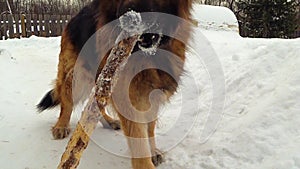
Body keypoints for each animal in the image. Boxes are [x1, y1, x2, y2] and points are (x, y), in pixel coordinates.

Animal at [37, 0, 192, 168]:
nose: (127, 18)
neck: (147, 55)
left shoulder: (152, 94)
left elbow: (149, 128)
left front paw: (152, 151)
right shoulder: (128, 97)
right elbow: (138, 141)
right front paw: (145, 162)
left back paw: (108, 121)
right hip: (78, 75)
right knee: (67, 100)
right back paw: (61, 125)